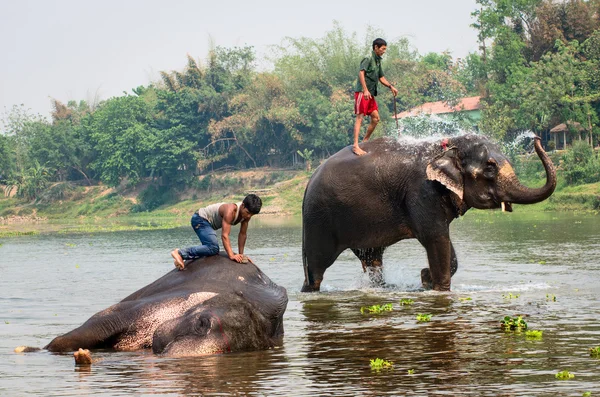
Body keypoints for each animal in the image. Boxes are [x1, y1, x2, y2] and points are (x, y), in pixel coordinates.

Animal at [302, 133, 556, 290]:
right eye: (491, 167)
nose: (536, 138)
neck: (449, 145)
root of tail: (308, 181)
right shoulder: (422, 191)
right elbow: (435, 237)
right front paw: (437, 286)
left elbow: (445, 244)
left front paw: (425, 279)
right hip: (318, 220)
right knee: (316, 267)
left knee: (372, 259)